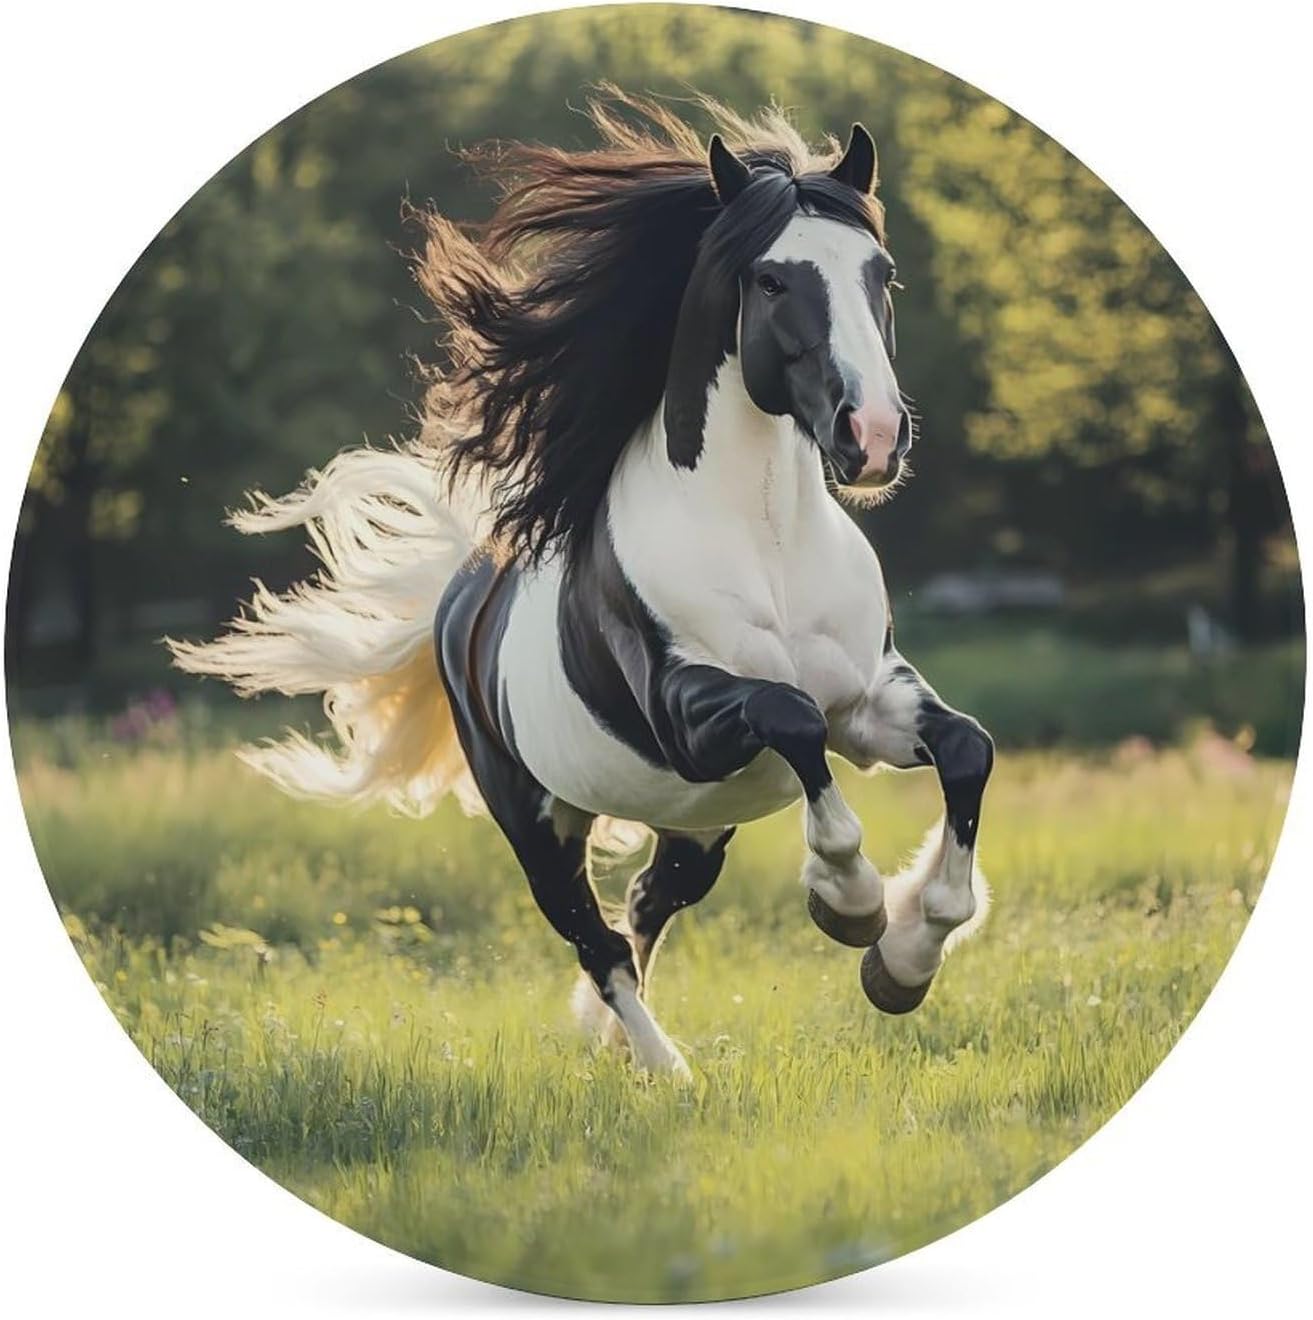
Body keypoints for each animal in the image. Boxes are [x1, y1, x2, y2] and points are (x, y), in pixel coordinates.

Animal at [170, 93, 994, 1080]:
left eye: (881, 273)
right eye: (769, 282)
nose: (869, 437)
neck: (766, 542)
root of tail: (462, 597)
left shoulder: (869, 701)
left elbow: (967, 750)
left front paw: (902, 961)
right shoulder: (690, 719)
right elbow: (792, 721)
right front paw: (851, 903)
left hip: (694, 826)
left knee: (643, 904)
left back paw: (620, 1046)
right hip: (538, 822)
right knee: (595, 942)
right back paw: (664, 1070)